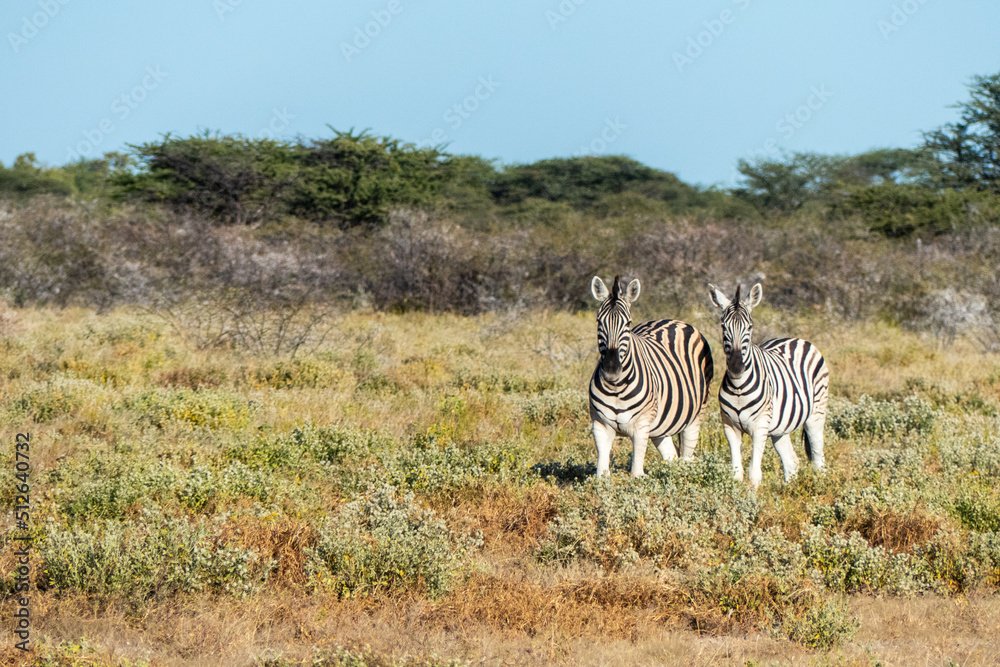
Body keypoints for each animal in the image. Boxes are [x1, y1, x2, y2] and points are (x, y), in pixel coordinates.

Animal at [589, 275, 714, 477]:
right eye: (599, 321)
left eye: (628, 323)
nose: (611, 370)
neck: (617, 387)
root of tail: (673, 320)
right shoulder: (600, 425)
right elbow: (601, 472)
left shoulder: (641, 425)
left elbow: (636, 472)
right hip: (661, 425)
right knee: (671, 455)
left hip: (696, 414)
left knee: (687, 456)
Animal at [708, 282, 829, 488]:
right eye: (723, 326)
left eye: (750, 327)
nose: (736, 367)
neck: (739, 388)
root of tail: (796, 339)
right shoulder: (729, 426)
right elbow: (736, 473)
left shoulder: (760, 426)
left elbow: (754, 474)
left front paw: (753, 496)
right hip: (781, 427)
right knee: (791, 461)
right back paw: (788, 491)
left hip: (816, 415)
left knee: (818, 459)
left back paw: (820, 486)